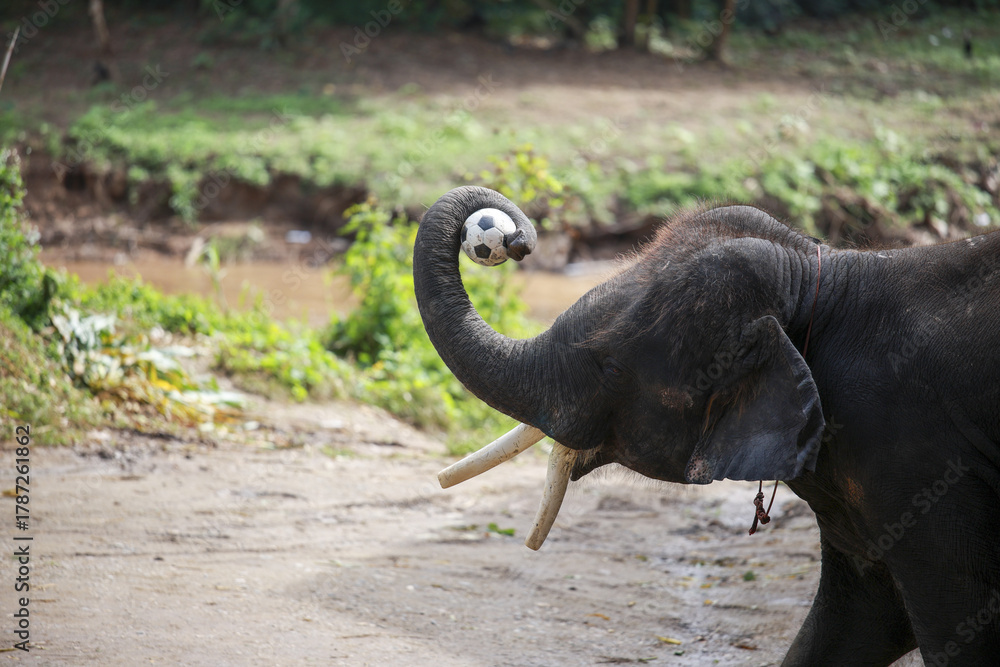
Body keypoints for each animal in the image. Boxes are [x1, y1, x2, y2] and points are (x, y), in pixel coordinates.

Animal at [413, 186, 1000, 666]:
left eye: (611, 367)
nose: (512, 241)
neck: (823, 278)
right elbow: (860, 619)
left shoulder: (919, 460)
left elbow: (957, 622)